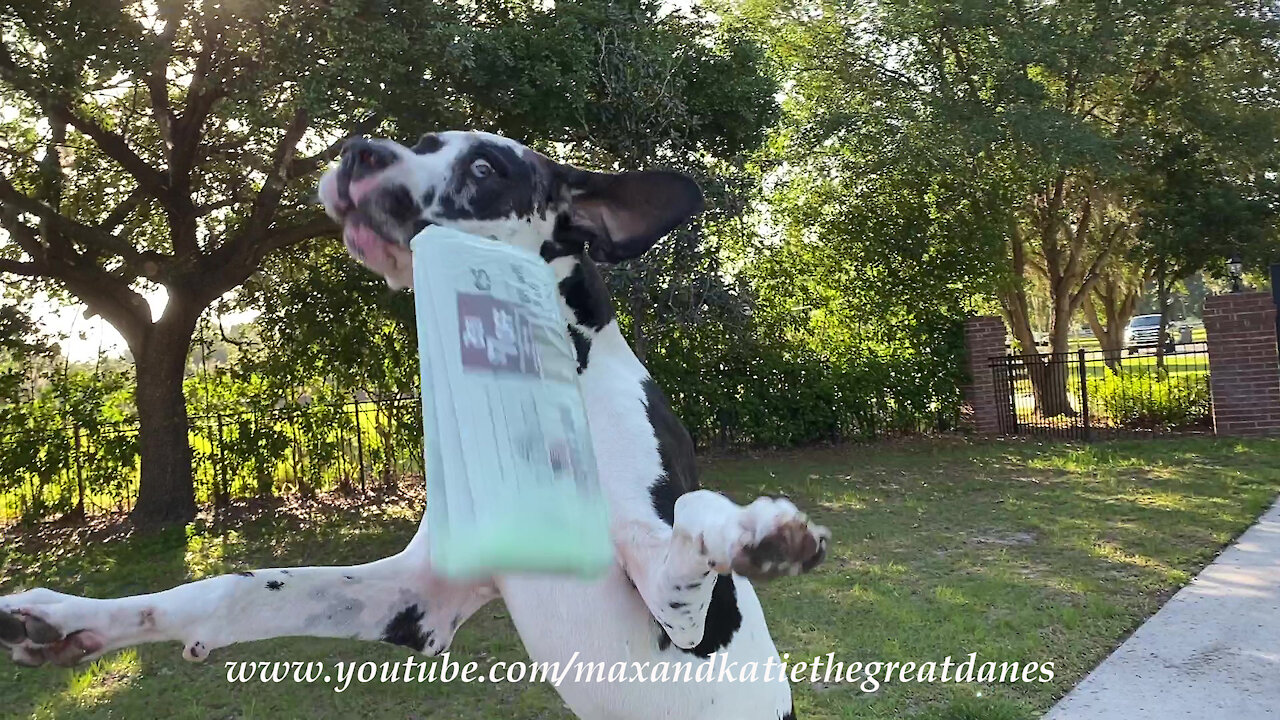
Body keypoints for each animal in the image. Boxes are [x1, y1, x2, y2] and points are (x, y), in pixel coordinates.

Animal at [0, 130, 829, 717]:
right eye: (424, 141)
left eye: (487, 168)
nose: (356, 148)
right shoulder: (420, 599)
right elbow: (230, 590)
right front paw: (69, 618)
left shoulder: (677, 614)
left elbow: (692, 514)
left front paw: (757, 531)